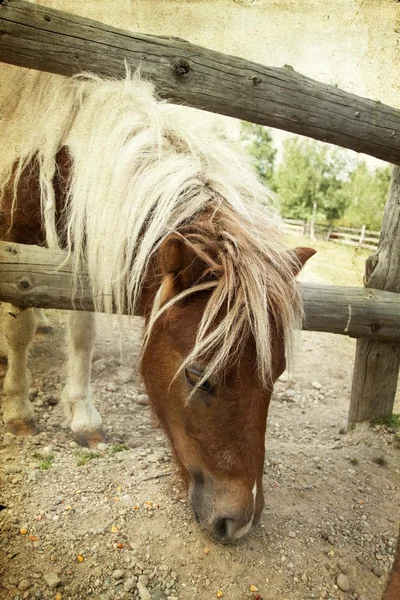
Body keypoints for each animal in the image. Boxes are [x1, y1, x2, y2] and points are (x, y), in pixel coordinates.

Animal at [0, 68, 314, 540]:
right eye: (198, 376)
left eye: (275, 374)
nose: (239, 523)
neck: (50, 156)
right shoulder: (14, 245)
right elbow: (19, 328)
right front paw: (19, 411)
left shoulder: (80, 249)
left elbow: (82, 333)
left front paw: (83, 417)